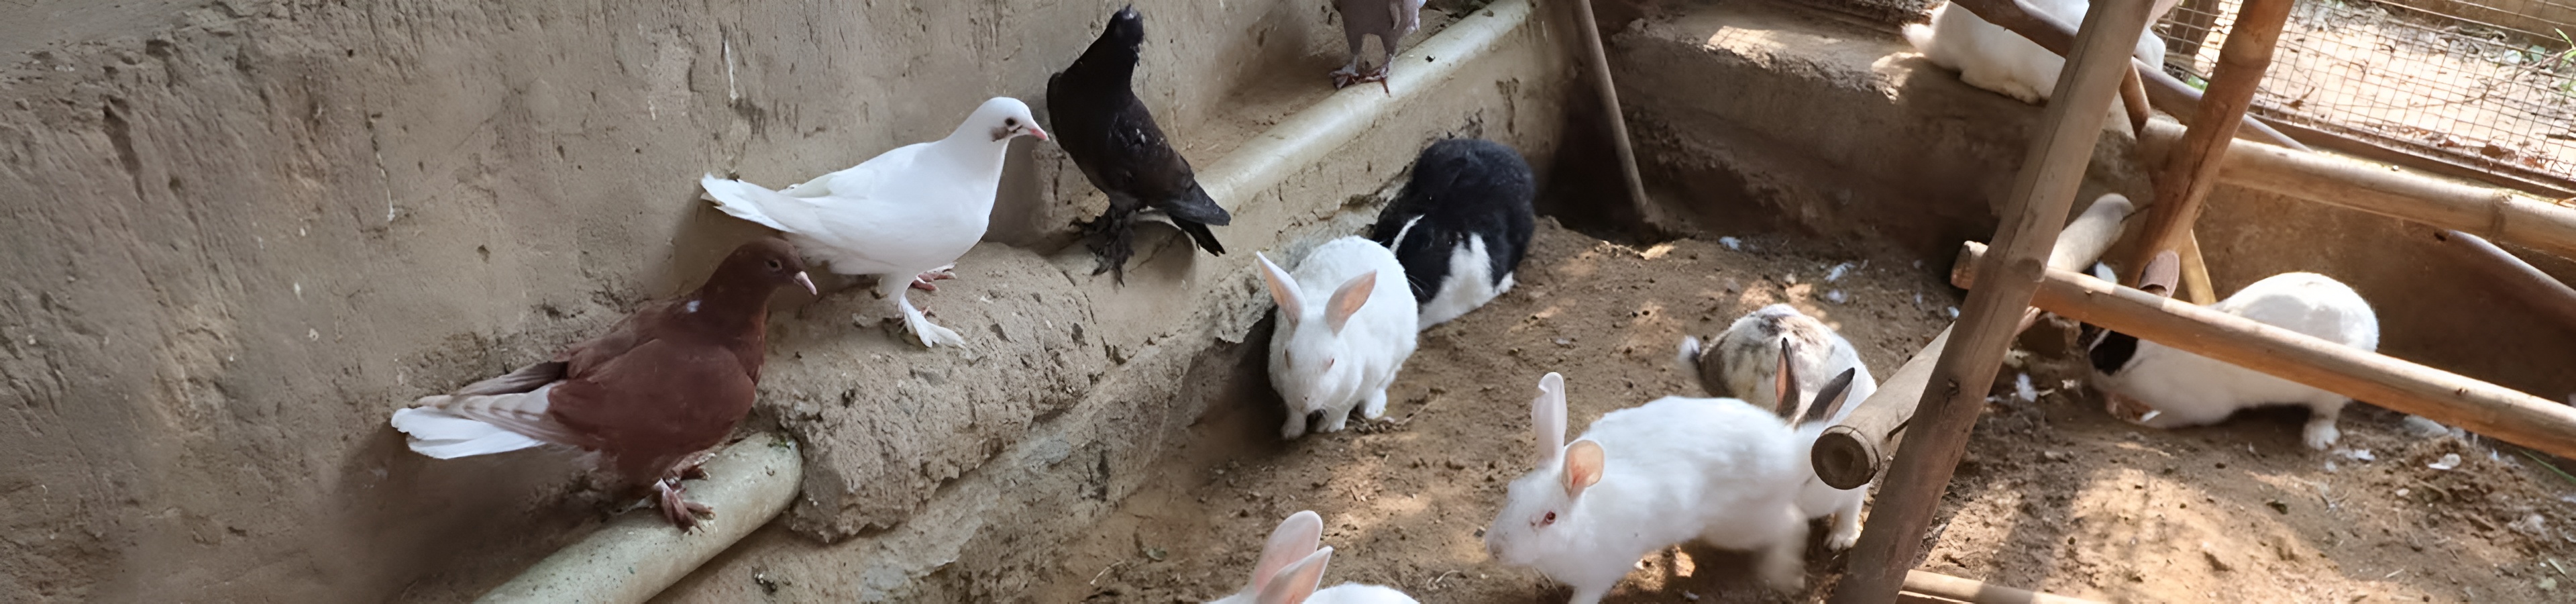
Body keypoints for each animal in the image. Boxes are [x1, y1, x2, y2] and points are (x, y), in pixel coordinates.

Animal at [1258, 237, 1419, 439]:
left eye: (1332, 361)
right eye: (1286, 355)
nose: (1303, 401)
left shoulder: (1358, 388)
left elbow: (1341, 410)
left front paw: (1328, 427)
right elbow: (1294, 414)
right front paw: (1290, 432)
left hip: (1397, 358)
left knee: (1380, 387)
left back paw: (1372, 411)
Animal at [1482, 372, 1810, 604]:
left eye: (1550, 517)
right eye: (1512, 492)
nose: (1495, 550)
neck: (1582, 524)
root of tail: (1791, 450)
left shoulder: (1600, 576)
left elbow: (1585, 598)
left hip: (1740, 527)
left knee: (1795, 523)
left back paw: (1781, 575)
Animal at [1903, 0, 2170, 105]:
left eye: (2162, 54)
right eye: (2137, 57)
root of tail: (1938, 39)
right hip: (1990, 58)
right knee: (1971, 77)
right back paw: (2021, 93)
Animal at [2081, 251, 2380, 450]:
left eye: (2102, 358)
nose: (2090, 378)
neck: (2147, 357)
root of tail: (2371, 326)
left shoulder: (2194, 408)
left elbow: (2168, 419)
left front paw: (2144, 422)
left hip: (2329, 393)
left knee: (2326, 413)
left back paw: (2316, 438)